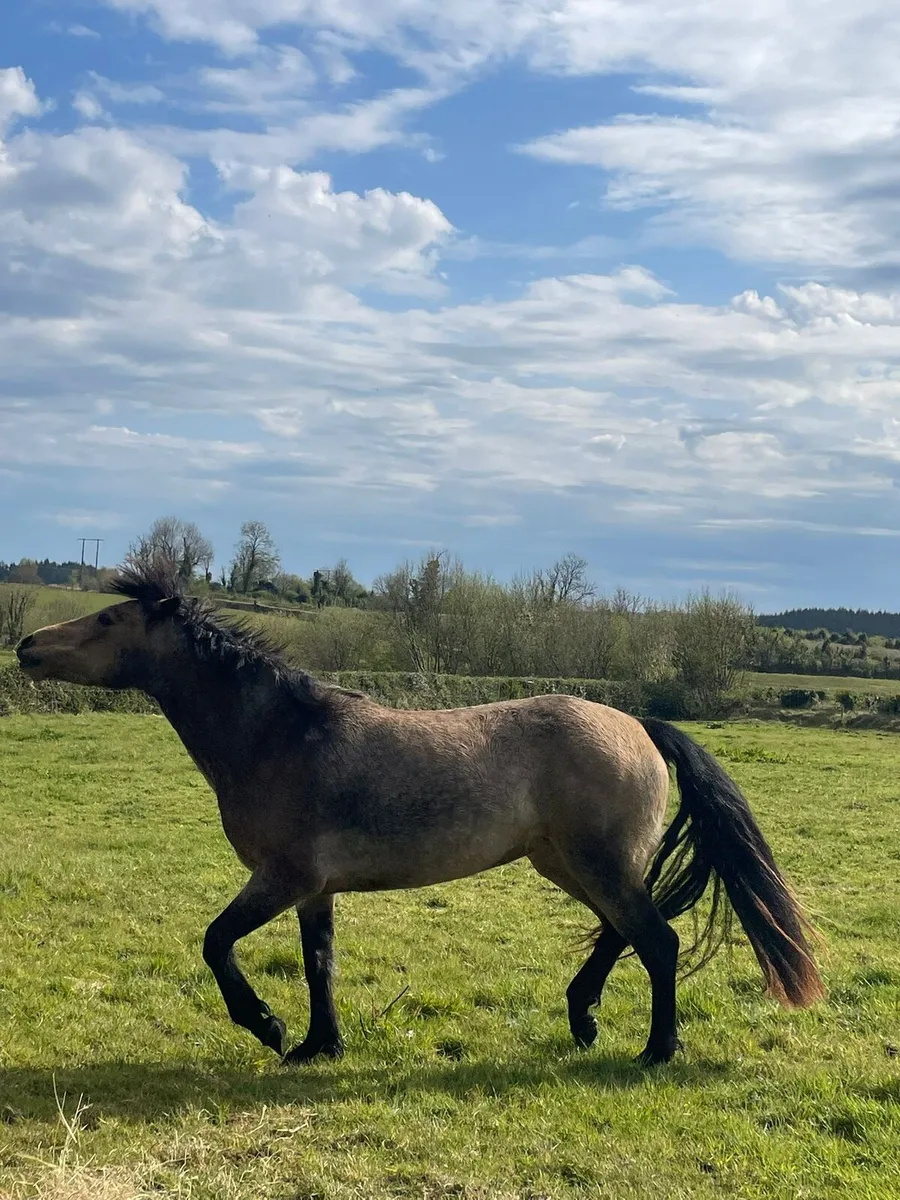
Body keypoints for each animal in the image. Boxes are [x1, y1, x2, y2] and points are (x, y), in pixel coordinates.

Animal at [15, 562, 824, 1067]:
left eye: (109, 618)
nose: (25, 646)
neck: (281, 735)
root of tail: (639, 725)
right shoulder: (313, 890)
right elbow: (320, 964)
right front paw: (317, 1046)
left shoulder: (280, 878)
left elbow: (217, 943)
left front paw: (268, 1027)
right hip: (568, 862)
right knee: (622, 933)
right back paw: (583, 1018)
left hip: (596, 863)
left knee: (655, 939)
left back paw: (655, 1050)